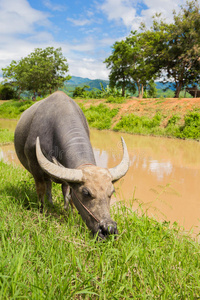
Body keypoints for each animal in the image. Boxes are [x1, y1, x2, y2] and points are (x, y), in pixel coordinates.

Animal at [14, 91, 130, 239]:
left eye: (112, 192)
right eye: (86, 193)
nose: (108, 230)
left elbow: (68, 195)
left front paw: (70, 213)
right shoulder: (35, 169)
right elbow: (40, 191)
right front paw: (42, 212)